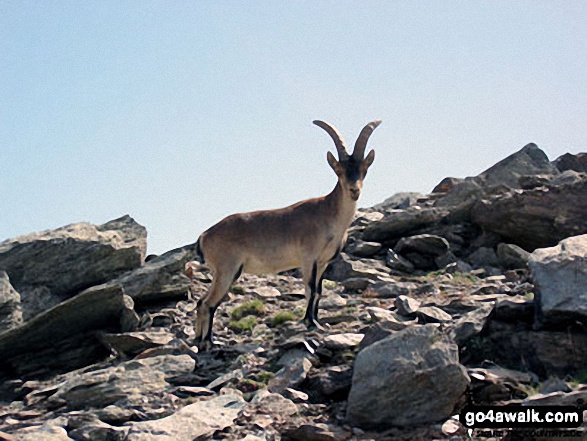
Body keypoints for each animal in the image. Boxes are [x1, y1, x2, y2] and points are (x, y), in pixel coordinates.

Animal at [193, 118, 382, 348]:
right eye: (339, 170)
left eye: (364, 169)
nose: (354, 190)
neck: (328, 214)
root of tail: (204, 236)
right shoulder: (309, 258)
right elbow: (310, 288)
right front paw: (310, 323)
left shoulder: (324, 262)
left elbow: (319, 290)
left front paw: (317, 321)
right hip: (227, 269)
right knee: (209, 303)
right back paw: (208, 342)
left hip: (220, 272)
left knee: (202, 302)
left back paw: (200, 340)